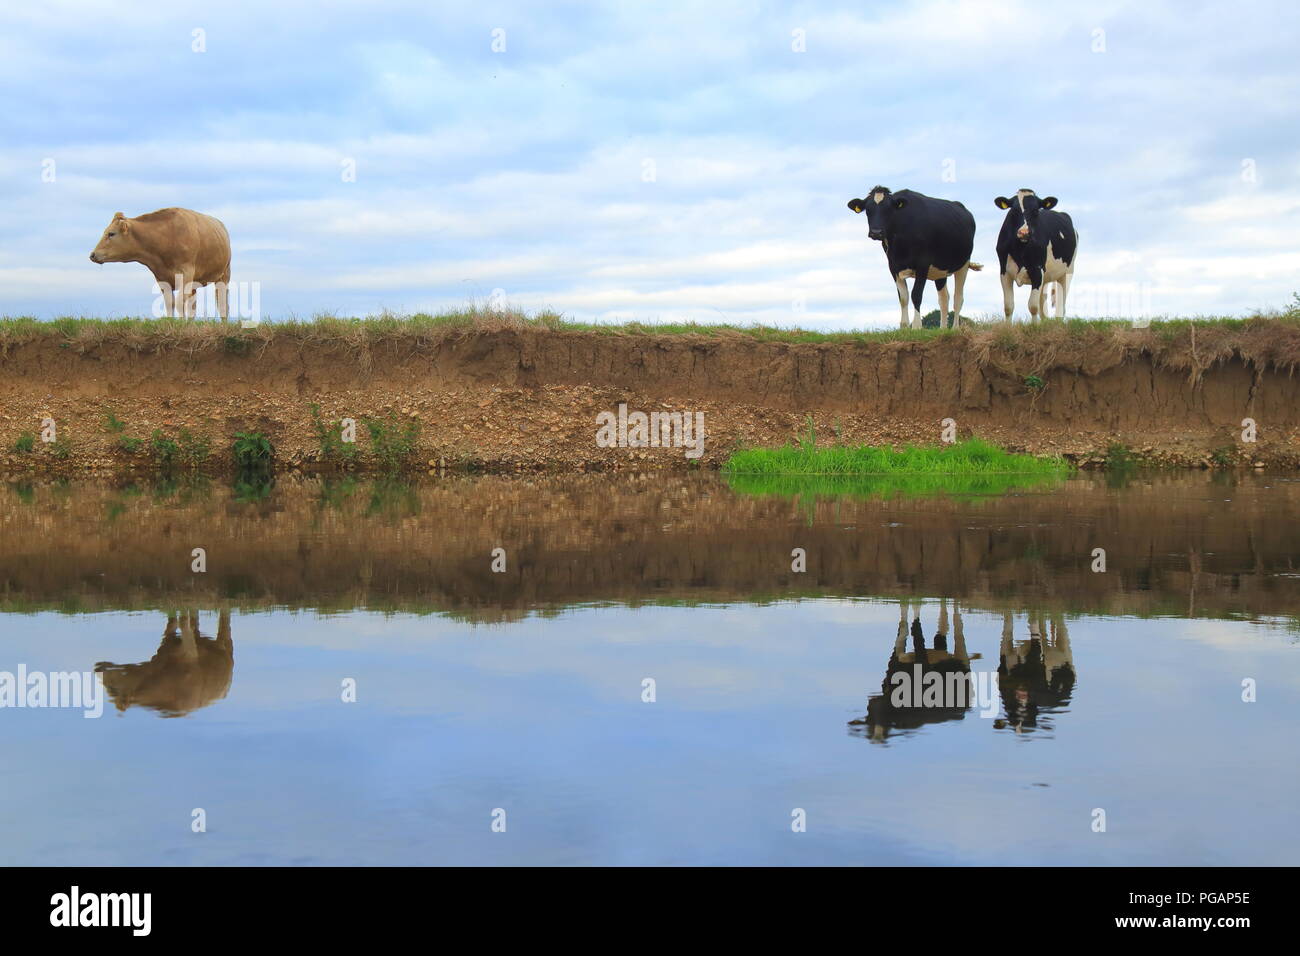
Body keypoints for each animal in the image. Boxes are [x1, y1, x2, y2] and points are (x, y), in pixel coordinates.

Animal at [90, 206, 232, 321]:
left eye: (111, 234)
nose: (92, 254)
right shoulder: (161, 278)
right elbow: (170, 303)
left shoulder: (186, 273)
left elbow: (179, 302)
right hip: (195, 283)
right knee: (192, 306)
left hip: (224, 275)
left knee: (222, 305)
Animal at [847, 185, 977, 329]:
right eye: (868, 210)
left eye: (888, 209)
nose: (876, 232)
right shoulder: (893, 267)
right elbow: (903, 297)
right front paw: (904, 326)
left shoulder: (923, 264)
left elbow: (916, 294)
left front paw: (916, 326)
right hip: (940, 270)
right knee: (944, 299)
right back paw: (943, 329)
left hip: (963, 264)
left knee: (958, 298)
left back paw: (954, 328)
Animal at [993, 188, 1076, 323]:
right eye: (1013, 210)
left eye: (1036, 210)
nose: (1024, 232)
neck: (1020, 249)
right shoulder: (1004, 272)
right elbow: (1008, 306)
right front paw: (1008, 327)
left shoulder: (1037, 271)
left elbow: (1033, 306)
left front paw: (1034, 326)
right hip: (1046, 278)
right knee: (1042, 303)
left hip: (1067, 272)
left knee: (1061, 303)